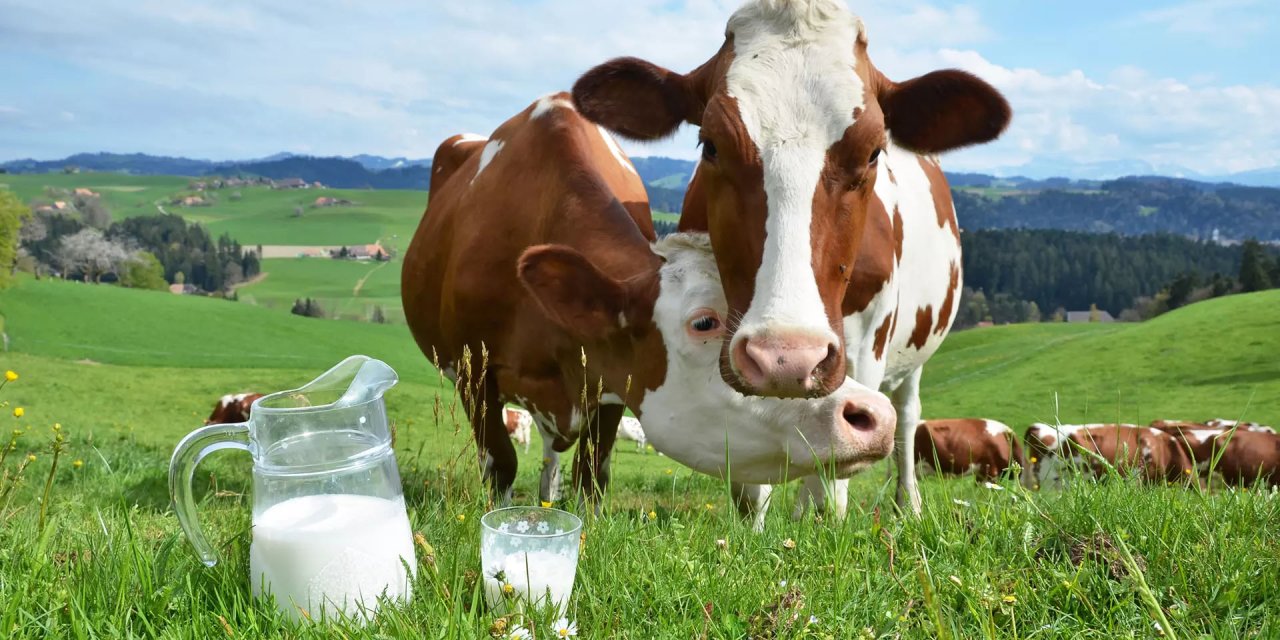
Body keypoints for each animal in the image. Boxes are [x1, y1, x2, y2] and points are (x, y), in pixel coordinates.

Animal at [404, 93, 896, 509]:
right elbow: (500, 465)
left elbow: (592, 474)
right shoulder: (473, 372)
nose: (875, 414)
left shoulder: (607, 379)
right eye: (704, 323)